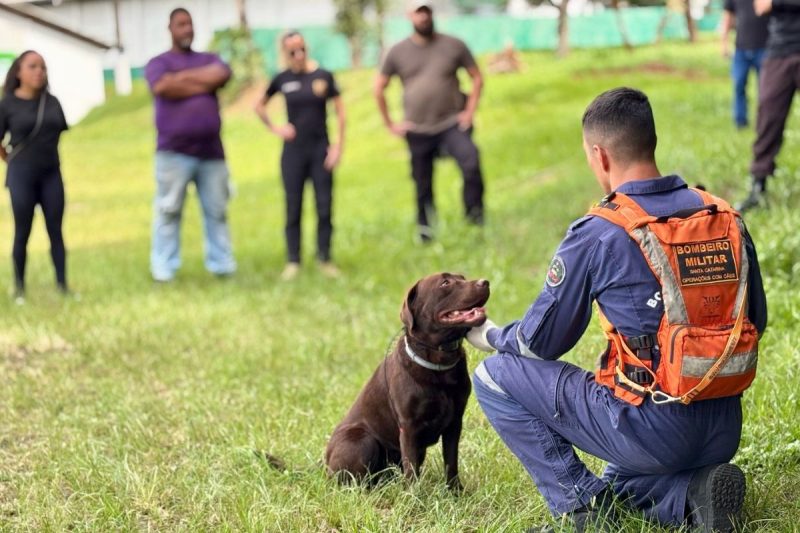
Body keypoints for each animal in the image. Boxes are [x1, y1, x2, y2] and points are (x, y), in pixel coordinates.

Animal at [324, 272, 488, 488]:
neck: (439, 363)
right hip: (362, 440)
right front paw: (413, 495)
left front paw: (455, 491)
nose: (485, 282)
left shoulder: (455, 423)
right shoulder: (409, 427)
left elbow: (451, 462)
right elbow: (411, 469)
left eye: (463, 277)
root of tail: (323, 464)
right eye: (445, 283)